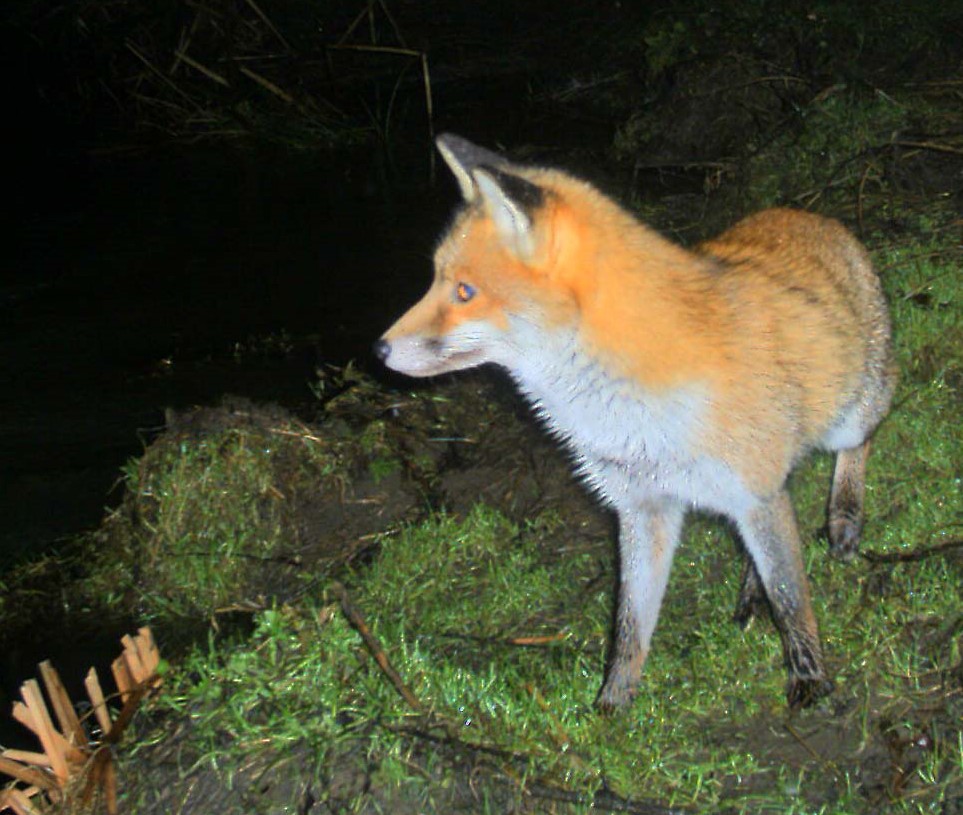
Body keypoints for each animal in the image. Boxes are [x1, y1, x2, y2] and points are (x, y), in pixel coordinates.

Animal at [374, 133, 896, 710]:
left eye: (464, 292)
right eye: (435, 279)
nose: (379, 350)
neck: (627, 414)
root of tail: (808, 214)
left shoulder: (753, 494)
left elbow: (790, 598)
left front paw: (810, 677)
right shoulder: (644, 507)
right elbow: (629, 625)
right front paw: (613, 706)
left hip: (849, 415)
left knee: (862, 438)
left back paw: (845, 518)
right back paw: (750, 589)